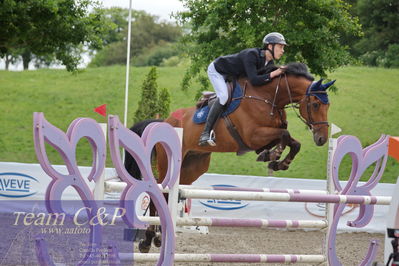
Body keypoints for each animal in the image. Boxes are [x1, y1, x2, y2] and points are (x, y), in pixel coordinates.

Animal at [125, 61, 334, 251]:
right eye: (315, 104)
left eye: (328, 106)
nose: (322, 138)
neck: (268, 96)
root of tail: (164, 122)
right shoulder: (253, 136)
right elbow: (284, 135)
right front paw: (274, 155)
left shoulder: (264, 138)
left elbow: (292, 141)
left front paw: (278, 162)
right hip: (167, 163)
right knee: (159, 191)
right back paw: (148, 239)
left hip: (191, 167)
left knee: (169, 194)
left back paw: (158, 237)